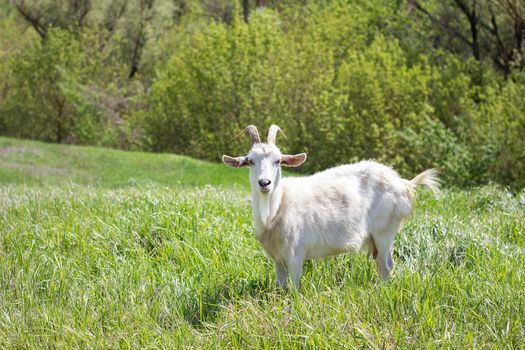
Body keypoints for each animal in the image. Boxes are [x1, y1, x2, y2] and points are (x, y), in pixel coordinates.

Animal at [221, 124, 438, 288]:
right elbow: (281, 286)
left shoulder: (295, 253)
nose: (264, 183)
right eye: (250, 161)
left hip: (385, 230)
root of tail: (404, 184)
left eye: (278, 161)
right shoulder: (277, 258)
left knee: (386, 265)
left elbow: (295, 286)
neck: (279, 206)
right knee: (380, 263)